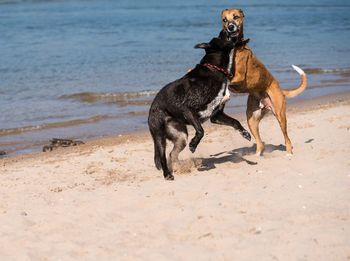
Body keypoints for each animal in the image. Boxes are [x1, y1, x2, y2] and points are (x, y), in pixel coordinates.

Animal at [148, 36, 252, 179]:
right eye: (223, 36)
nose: (232, 32)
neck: (215, 70)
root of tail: (151, 109)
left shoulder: (216, 116)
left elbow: (235, 122)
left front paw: (245, 133)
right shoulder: (187, 109)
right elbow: (201, 130)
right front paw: (193, 145)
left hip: (180, 137)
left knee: (172, 154)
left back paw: (178, 167)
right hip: (159, 134)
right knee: (163, 155)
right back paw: (167, 174)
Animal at [221, 8, 306, 154]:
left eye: (236, 17)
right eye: (224, 20)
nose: (230, 27)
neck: (235, 45)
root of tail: (281, 90)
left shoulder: (238, 77)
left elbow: (227, 79)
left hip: (280, 115)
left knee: (287, 139)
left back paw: (289, 154)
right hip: (251, 119)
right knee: (260, 144)